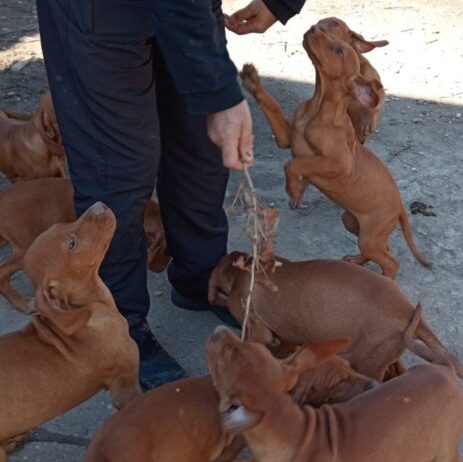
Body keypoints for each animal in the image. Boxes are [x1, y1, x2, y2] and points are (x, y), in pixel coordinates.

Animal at [207, 324, 463, 462]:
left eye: (223, 357)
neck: (296, 432)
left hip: (445, 449)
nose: (219, 330)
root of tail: (445, 369)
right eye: (249, 345)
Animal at [243, 28, 432, 280]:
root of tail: (400, 207)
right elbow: (272, 105)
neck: (316, 109)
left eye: (339, 50)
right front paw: (252, 81)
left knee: (391, 263)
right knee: (382, 251)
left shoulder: (340, 163)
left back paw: (384, 281)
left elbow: (294, 164)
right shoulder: (285, 138)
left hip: (369, 236)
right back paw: (357, 261)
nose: (313, 28)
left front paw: (294, 189)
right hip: (353, 223)